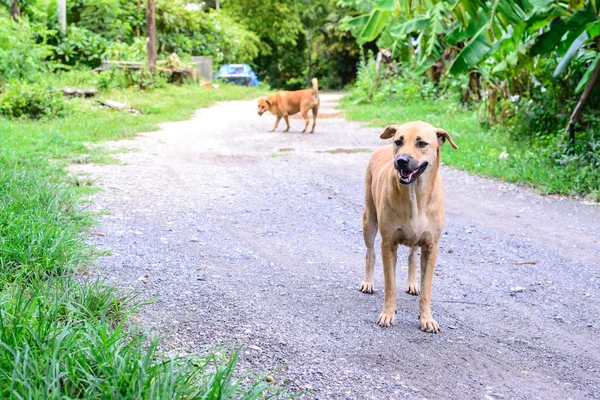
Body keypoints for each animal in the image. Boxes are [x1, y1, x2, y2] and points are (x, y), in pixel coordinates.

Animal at [360, 120, 460, 332]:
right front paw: (388, 314)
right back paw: (368, 282)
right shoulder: (388, 243)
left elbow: (426, 289)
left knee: (412, 255)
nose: (401, 161)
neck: (415, 194)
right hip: (369, 219)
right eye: (398, 141)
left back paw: (413, 283)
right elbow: (389, 285)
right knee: (370, 252)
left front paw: (427, 318)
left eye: (421, 143)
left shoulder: (431, 246)